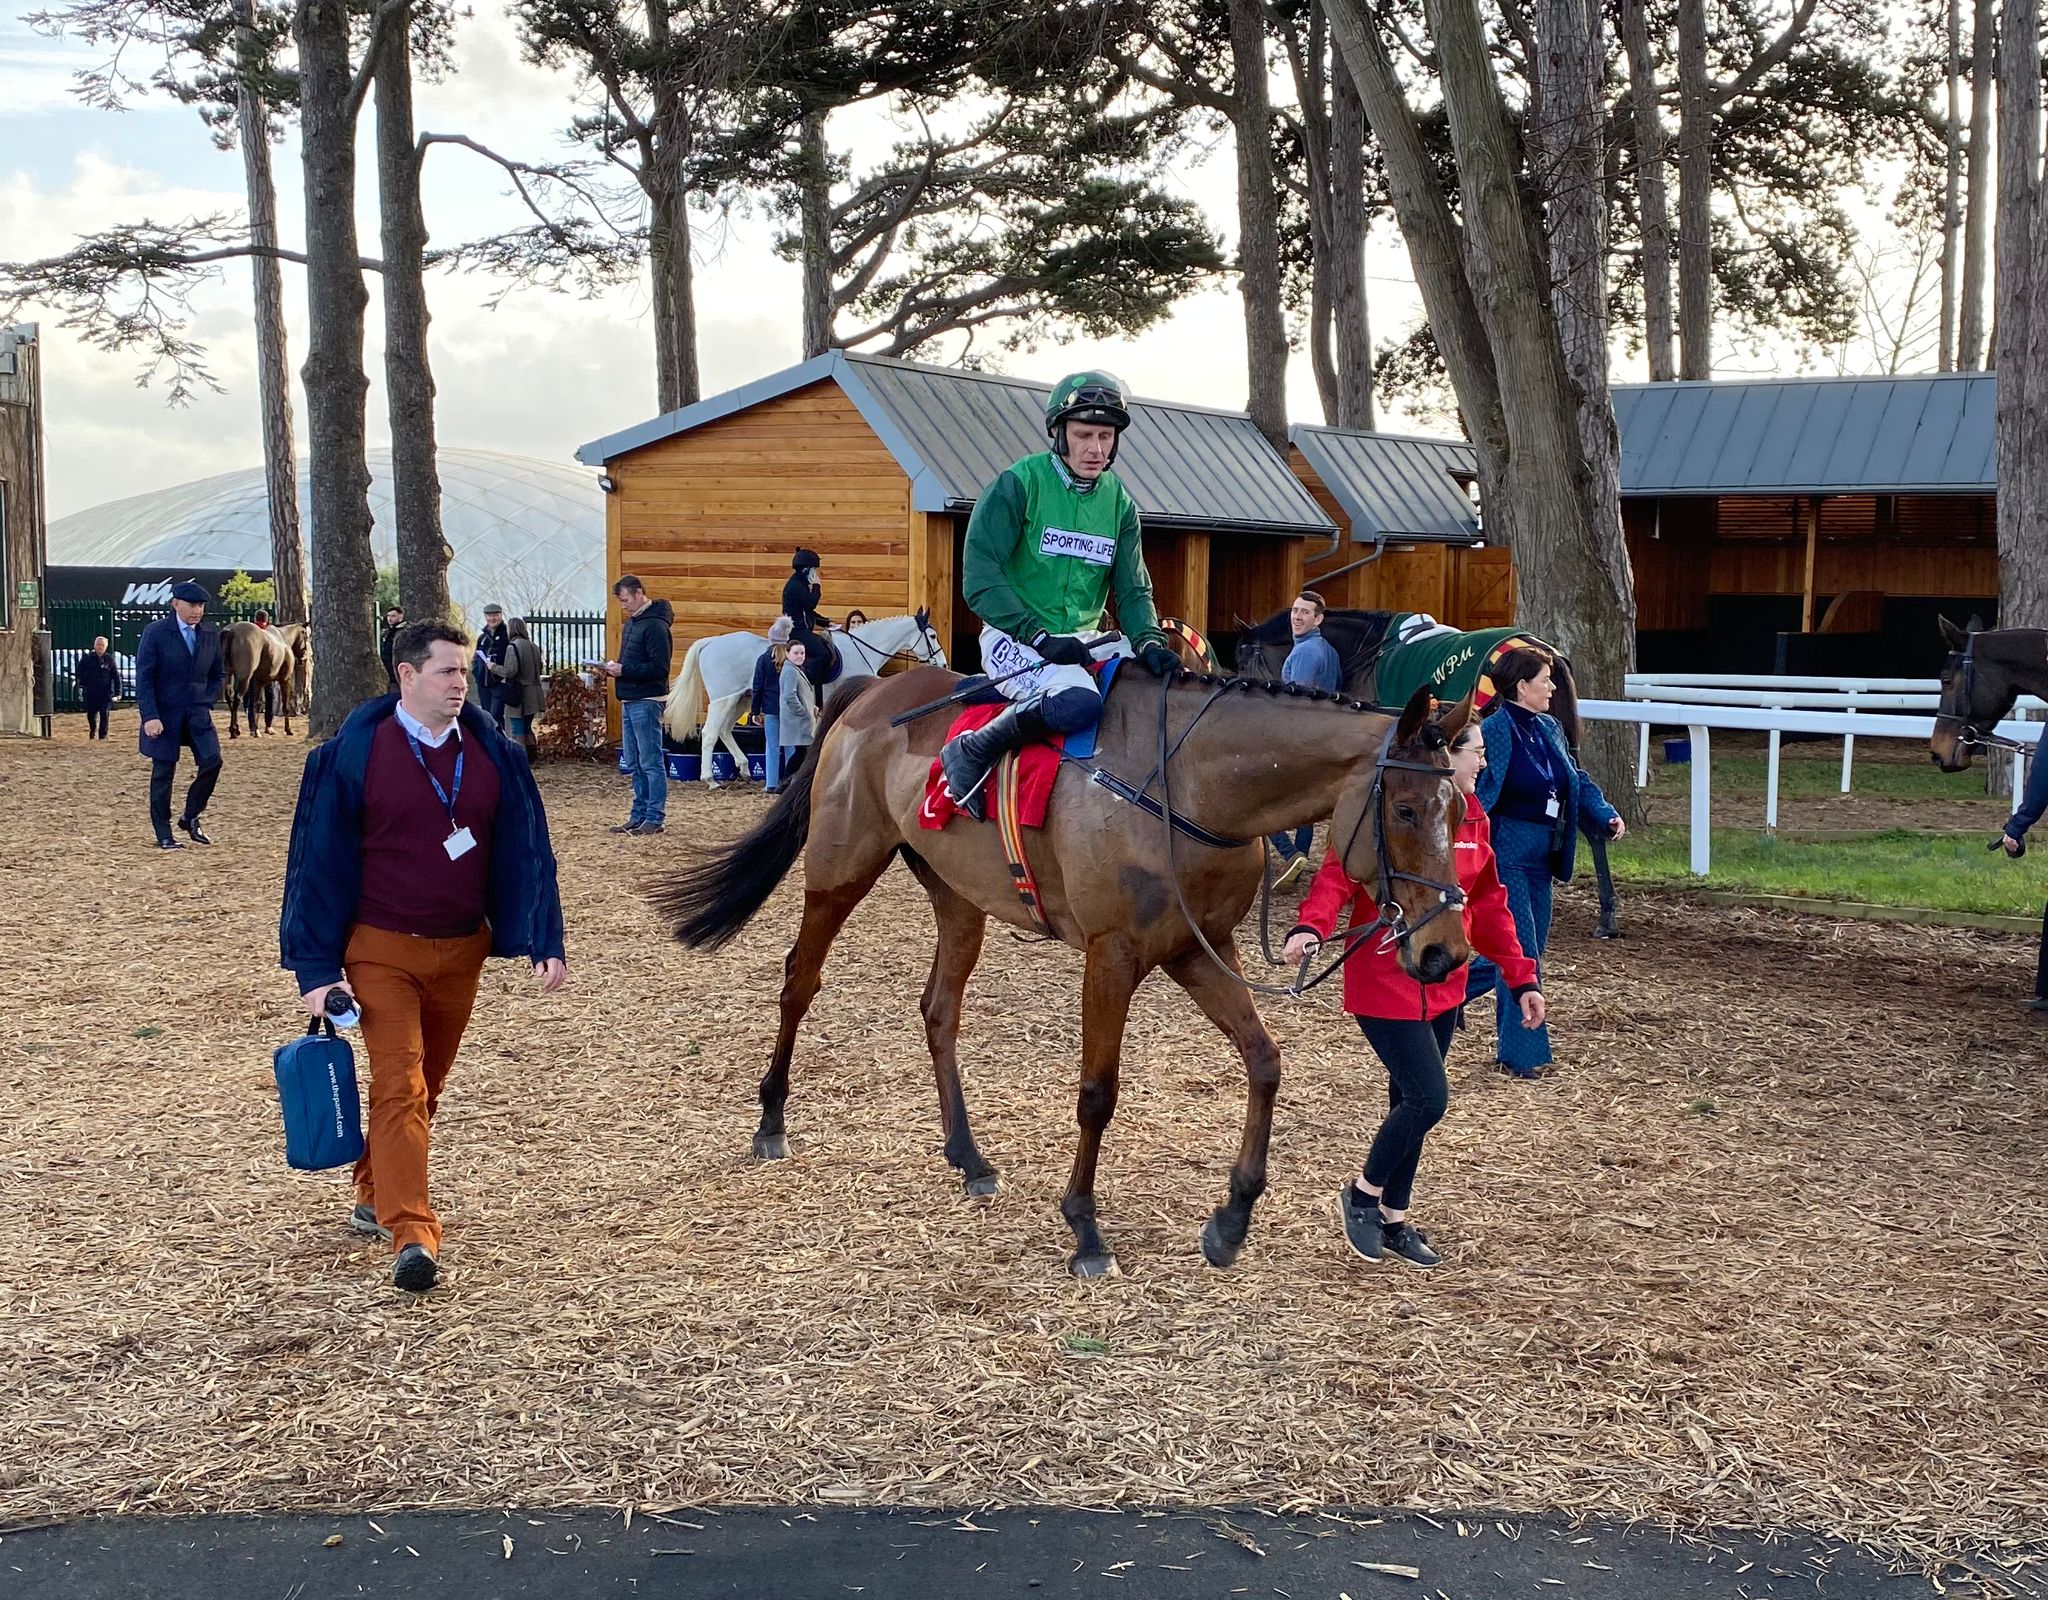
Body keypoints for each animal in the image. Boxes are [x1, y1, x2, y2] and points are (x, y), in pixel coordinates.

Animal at [655, 659, 1474, 1270]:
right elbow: (1098, 1094)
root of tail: (879, 688)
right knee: (800, 980)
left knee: (939, 1010)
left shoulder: (1197, 950)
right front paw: (1084, 1225)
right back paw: (771, 1119)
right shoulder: (1113, 956)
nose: (1444, 952)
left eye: (1462, 812)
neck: (1188, 786)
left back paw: (968, 1156)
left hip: (959, 898)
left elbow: (1265, 1062)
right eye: (1405, 810)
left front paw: (1233, 1215)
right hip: (839, 870)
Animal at [659, 606, 946, 786]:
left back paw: (743, 768)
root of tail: (711, 642)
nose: (943, 664)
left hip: (742, 698)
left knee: (724, 731)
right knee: (709, 733)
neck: (860, 650)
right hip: (724, 699)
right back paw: (710, 779)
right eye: (932, 635)